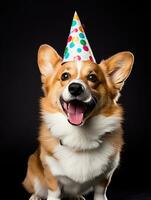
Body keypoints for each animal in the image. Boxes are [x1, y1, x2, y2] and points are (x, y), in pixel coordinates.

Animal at [22, 44, 133, 200]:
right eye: (65, 76)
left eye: (92, 77)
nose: (75, 88)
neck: (79, 136)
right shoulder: (52, 177)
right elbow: (53, 192)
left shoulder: (105, 177)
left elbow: (100, 193)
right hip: (32, 167)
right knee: (37, 188)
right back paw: (36, 196)